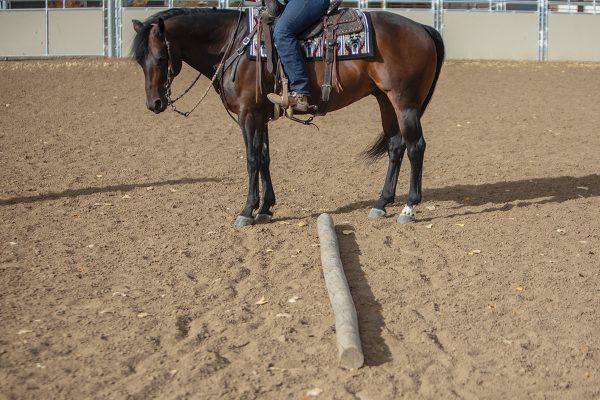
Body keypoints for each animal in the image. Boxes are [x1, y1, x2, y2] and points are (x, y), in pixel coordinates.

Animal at [131, 6, 442, 227]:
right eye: (140, 60)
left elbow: (251, 159)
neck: (235, 44)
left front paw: (247, 211)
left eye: (161, 57)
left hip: (405, 102)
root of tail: (424, 28)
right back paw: (381, 203)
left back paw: (409, 208)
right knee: (395, 146)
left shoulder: (248, 115)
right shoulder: (260, 115)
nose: (154, 103)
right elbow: (265, 157)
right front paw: (266, 208)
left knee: (416, 147)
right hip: (385, 101)